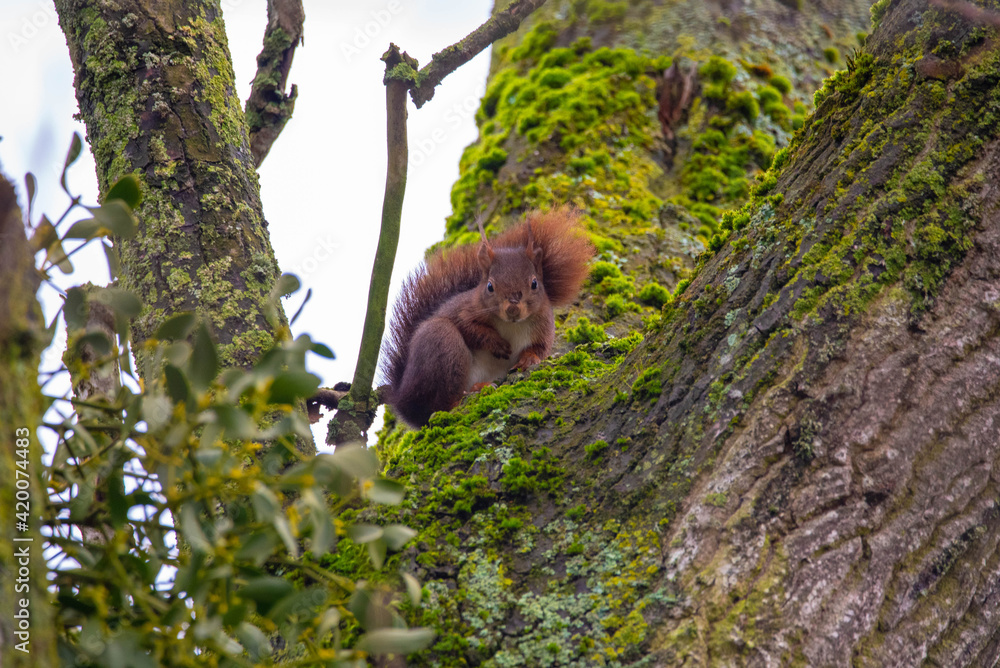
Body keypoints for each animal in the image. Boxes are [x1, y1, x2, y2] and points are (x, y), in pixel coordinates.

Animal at [382, 207, 594, 427]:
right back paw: (476, 390)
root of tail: (404, 400)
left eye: (534, 283)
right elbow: (471, 329)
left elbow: (540, 348)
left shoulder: (543, 324)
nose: (513, 309)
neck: (512, 325)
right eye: (490, 286)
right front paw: (496, 343)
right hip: (441, 341)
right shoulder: (464, 311)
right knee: (443, 404)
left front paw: (528, 359)